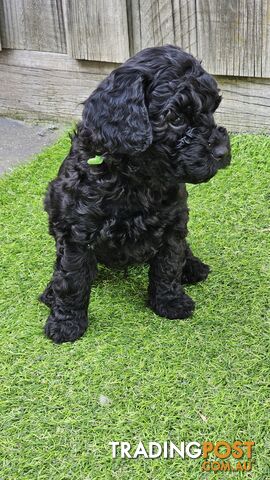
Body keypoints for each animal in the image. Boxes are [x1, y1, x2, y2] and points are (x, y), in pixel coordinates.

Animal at [41, 43, 231, 340]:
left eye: (213, 109)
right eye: (174, 117)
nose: (222, 152)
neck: (136, 177)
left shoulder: (173, 223)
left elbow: (168, 265)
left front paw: (170, 302)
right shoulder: (76, 231)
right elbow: (72, 278)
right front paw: (66, 323)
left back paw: (192, 266)